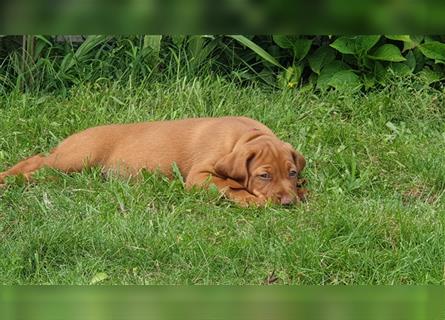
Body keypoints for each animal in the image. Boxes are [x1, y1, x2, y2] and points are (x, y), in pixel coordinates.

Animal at [0, 117, 306, 205]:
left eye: (291, 173)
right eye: (264, 175)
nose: (288, 204)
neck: (245, 136)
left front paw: (301, 193)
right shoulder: (199, 176)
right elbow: (231, 187)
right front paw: (254, 201)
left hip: (71, 170)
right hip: (76, 159)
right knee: (37, 163)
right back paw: (8, 179)